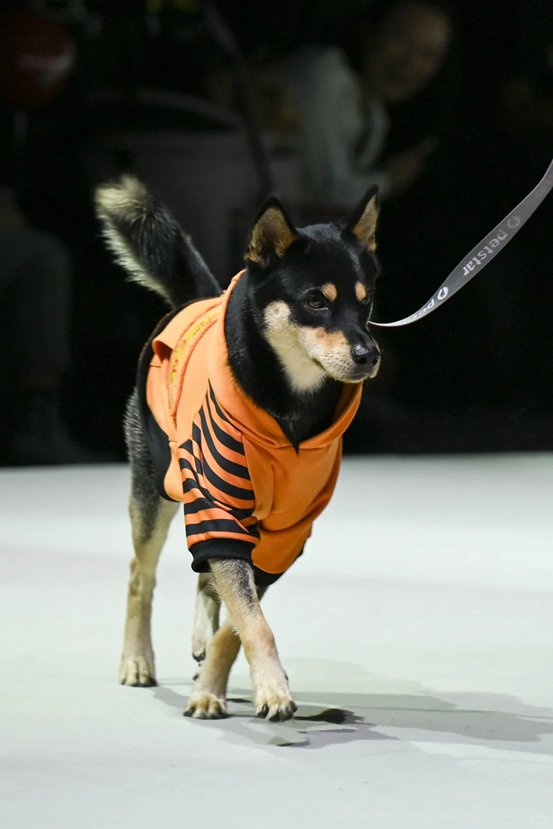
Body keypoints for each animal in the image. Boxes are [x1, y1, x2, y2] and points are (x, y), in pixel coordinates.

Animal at [95, 176, 381, 721]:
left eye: (367, 303)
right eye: (316, 301)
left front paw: (216, 686)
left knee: (206, 580)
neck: (289, 407)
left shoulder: (284, 534)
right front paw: (260, 685)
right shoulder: (218, 504)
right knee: (142, 575)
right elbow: (251, 617)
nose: (369, 354)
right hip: (159, 485)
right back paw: (136, 659)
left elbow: (240, 620)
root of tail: (197, 300)